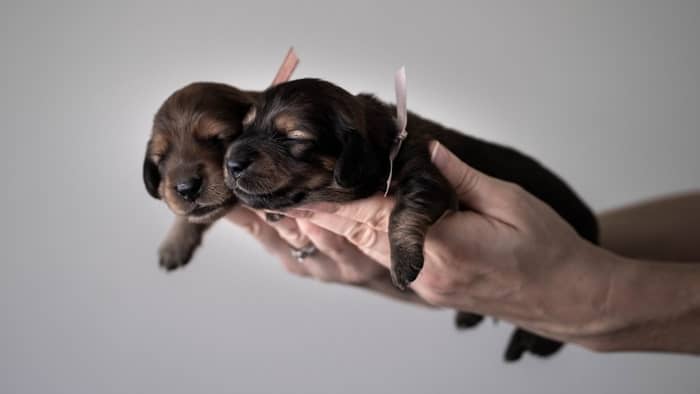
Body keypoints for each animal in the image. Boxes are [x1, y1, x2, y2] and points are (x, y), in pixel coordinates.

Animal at [221, 77, 600, 360]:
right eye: (245, 128)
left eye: (294, 138)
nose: (231, 163)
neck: (384, 142)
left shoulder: (428, 174)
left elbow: (404, 211)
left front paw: (403, 262)